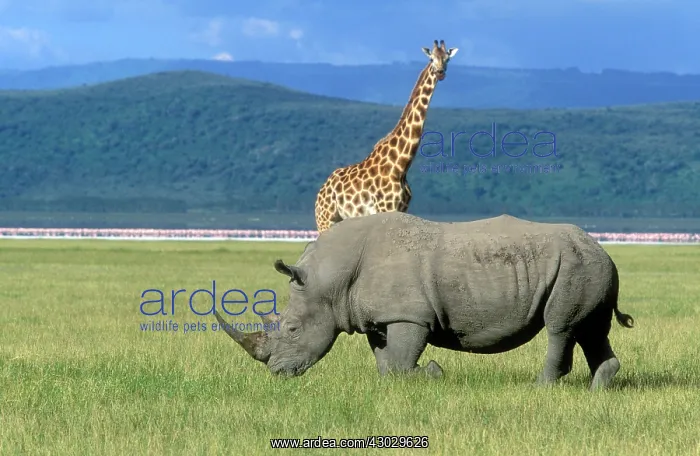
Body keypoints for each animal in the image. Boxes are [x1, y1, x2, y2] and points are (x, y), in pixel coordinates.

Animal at [214, 212, 634, 390]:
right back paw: (598, 390)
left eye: (291, 328)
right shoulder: (379, 316)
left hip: (576, 265)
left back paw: (541, 389)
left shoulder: (409, 315)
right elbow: (387, 361)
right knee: (591, 329)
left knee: (560, 327)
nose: (277, 373)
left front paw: (433, 372)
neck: (329, 282)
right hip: (588, 266)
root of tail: (603, 248)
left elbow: (404, 358)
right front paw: (395, 386)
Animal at [314, 40, 458, 233]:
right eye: (431, 58)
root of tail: (321, 192)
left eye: (447, 59)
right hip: (325, 220)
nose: (440, 72)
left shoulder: (402, 209)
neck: (400, 166)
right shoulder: (385, 208)